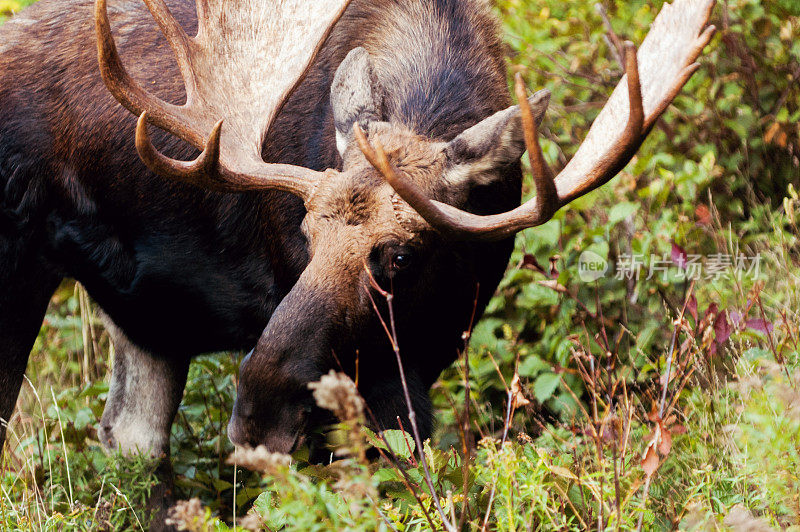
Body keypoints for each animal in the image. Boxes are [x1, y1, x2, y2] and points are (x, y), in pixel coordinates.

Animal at [0, 0, 712, 462]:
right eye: (306, 234)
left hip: (150, 328)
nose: (256, 414)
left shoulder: (429, 349)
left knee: (131, 439)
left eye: (399, 257)